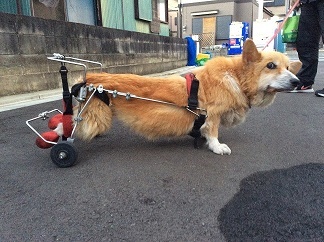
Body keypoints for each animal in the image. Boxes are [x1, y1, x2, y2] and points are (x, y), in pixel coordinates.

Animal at [73, 38, 302, 154]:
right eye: (271, 66)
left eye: (288, 67)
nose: (297, 82)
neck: (236, 78)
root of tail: (88, 78)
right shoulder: (213, 115)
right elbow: (213, 132)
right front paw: (217, 147)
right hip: (96, 117)